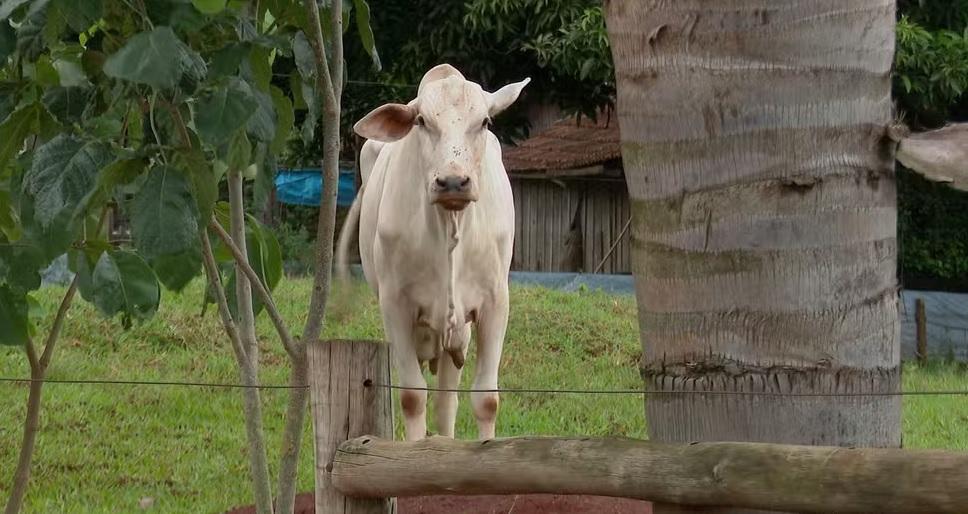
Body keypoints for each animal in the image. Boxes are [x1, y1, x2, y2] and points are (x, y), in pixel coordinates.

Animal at [336, 64, 529, 441]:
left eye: (485, 121)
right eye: (422, 121)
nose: (453, 182)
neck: (449, 228)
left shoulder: (495, 303)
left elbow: (486, 399)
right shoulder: (395, 305)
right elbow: (412, 396)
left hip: (456, 334)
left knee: (446, 400)